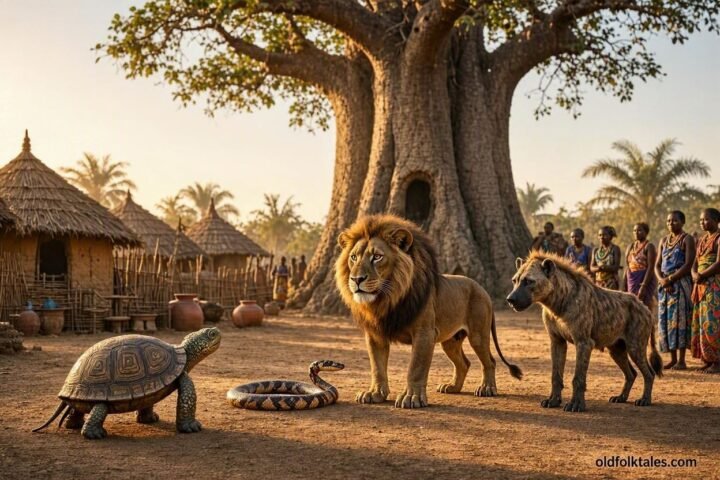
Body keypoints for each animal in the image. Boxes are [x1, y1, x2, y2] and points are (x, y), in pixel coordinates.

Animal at [335, 214, 522, 409]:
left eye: (377, 257)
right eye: (353, 257)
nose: (356, 279)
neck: (388, 299)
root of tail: (481, 288)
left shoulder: (424, 333)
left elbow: (416, 367)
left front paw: (412, 398)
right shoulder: (375, 335)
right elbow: (377, 367)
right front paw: (375, 394)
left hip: (477, 335)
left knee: (490, 361)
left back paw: (487, 388)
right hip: (450, 341)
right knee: (464, 363)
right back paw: (452, 387)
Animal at [506, 251, 663, 412]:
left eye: (529, 281)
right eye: (515, 280)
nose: (510, 299)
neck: (557, 304)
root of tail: (645, 308)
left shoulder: (584, 342)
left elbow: (578, 377)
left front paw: (576, 405)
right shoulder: (557, 341)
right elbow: (555, 375)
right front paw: (552, 401)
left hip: (634, 346)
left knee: (649, 373)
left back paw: (644, 400)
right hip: (616, 349)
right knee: (631, 373)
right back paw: (620, 398)